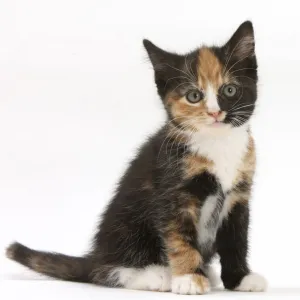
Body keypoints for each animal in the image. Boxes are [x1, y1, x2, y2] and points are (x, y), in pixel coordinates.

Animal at [5, 21, 268, 296]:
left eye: (230, 90)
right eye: (194, 96)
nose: (215, 113)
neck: (218, 143)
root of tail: (96, 256)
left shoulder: (238, 196)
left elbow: (236, 240)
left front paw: (240, 278)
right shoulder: (173, 192)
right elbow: (179, 237)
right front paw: (188, 277)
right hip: (127, 227)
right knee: (105, 272)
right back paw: (157, 275)